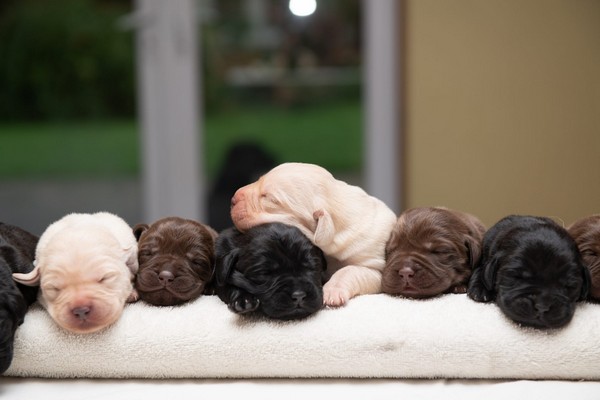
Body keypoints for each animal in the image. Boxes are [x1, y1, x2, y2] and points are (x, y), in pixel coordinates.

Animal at [230, 162, 398, 306]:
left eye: (270, 198)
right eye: (259, 179)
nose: (233, 198)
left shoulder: (375, 267)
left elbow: (349, 270)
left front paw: (332, 291)